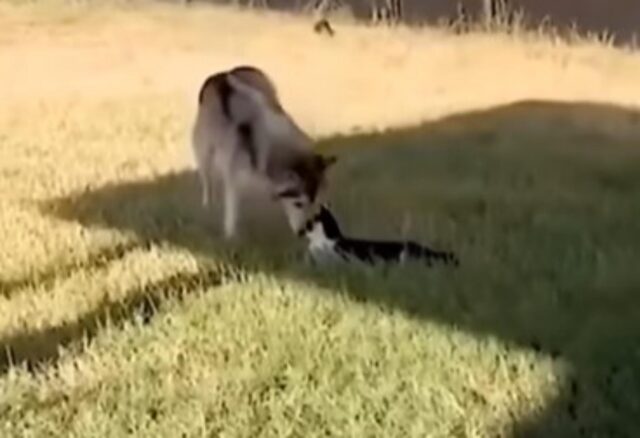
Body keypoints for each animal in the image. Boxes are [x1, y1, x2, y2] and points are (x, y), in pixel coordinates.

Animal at [192, 66, 338, 240]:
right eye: (298, 204)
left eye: (316, 203)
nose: (303, 232)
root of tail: (223, 73)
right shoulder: (234, 178)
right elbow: (232, 209)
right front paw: (231, 236)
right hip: (204, 149)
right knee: (206, 177)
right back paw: (207, 203)